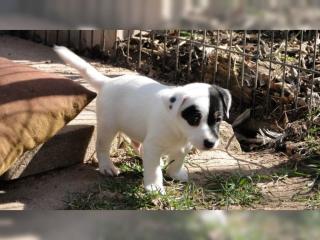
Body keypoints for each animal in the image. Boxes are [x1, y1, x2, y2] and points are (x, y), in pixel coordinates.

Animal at [53, 46, 231, 194]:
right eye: (194, 118)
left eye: (218, 119)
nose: (210, 143)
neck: (178, 129)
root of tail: (108, 81)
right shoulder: (153, 145)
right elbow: (153, 169)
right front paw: (154, 187)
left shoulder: (183, 146)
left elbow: (177, 161)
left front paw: (174, 174)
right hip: (108, 126)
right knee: (102, 147)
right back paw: (107, 167)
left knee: (136, 143)